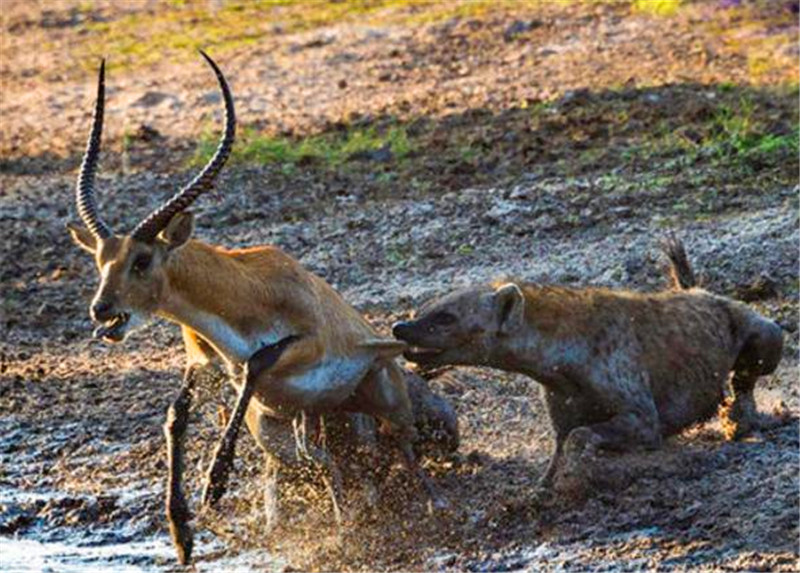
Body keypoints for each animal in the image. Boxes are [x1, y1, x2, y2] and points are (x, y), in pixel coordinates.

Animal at [70, 53, 456, 564]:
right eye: (100, 260)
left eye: (142, 259)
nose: (102, 310)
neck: (242, 293)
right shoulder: (203, 359)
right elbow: (177, 414)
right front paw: (181, 531)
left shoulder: (304, 343)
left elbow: (255, 362)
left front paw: (215, 487)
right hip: (298, 422)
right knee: (325, 460)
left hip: (386, 397)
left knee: (401, 447)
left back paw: (433, 505)